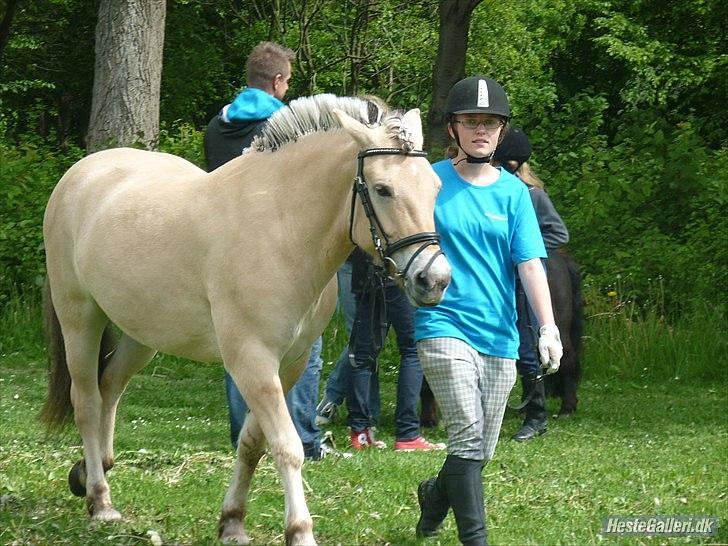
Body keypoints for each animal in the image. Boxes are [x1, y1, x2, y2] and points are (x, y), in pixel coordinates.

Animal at [41, 94, 450, 544]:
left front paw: (233, 521)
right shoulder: (252, 361)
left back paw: (92, 470)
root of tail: (81, 172)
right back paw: (100, 500)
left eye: (435, 188)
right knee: (87, 400)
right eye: (382, 189)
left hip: (142, 334)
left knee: (111, 386)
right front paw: (300, 530)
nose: (433, 278)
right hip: (80, 317)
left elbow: (252, 442)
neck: (281, 226)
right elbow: (287, 446)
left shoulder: (289, 363)